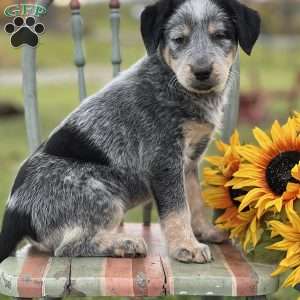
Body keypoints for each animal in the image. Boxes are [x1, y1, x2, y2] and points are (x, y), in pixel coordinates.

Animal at [0, 0, 260, 262]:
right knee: (67, 248)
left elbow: (194, 200)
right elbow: (178, 209)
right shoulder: (163, 159)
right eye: (179, 39)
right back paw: (125, 244)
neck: (174, 86)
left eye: (220, 35)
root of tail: (14, 213)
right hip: (103, 194)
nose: (202, 71)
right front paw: (186, 246)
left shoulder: (189, 161)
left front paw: (204, 232)